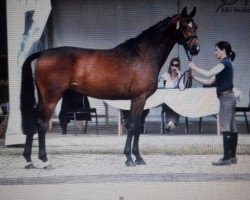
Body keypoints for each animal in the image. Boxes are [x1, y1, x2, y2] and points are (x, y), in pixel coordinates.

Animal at [20, 7, 200, 168]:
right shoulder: (139, 98)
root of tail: (43, 53)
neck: (143, 55)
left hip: (43, 98)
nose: (195, 49)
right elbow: (133, 126)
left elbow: (136, 127)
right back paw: (44, 159)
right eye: (184, 26)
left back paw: (29, 159)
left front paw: (137, 158)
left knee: (33, 121)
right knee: (42, 124)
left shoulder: (140, 101)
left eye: (195, 26)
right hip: (51, 98)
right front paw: (131, 158)